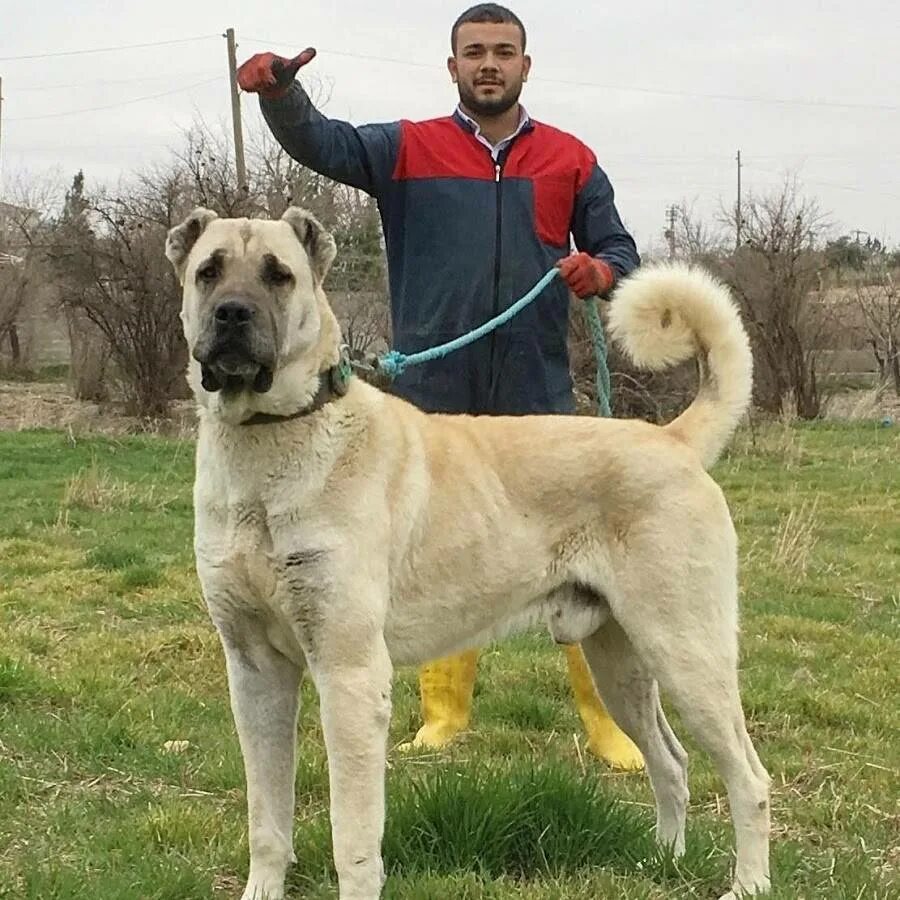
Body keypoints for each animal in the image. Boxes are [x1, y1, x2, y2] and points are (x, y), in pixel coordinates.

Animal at [165, 206, 768, 900]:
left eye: (278, 275)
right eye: (209, 271)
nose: (233, 314)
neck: (267, 444)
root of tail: (672, 441)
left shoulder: (349, 675)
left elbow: (353, 836)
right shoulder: (255, 672)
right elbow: (267, 817)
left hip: (688, 654)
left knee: (749, 780)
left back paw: (747, 884)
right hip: (620, 660)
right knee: (671, 760)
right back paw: (662, 863)